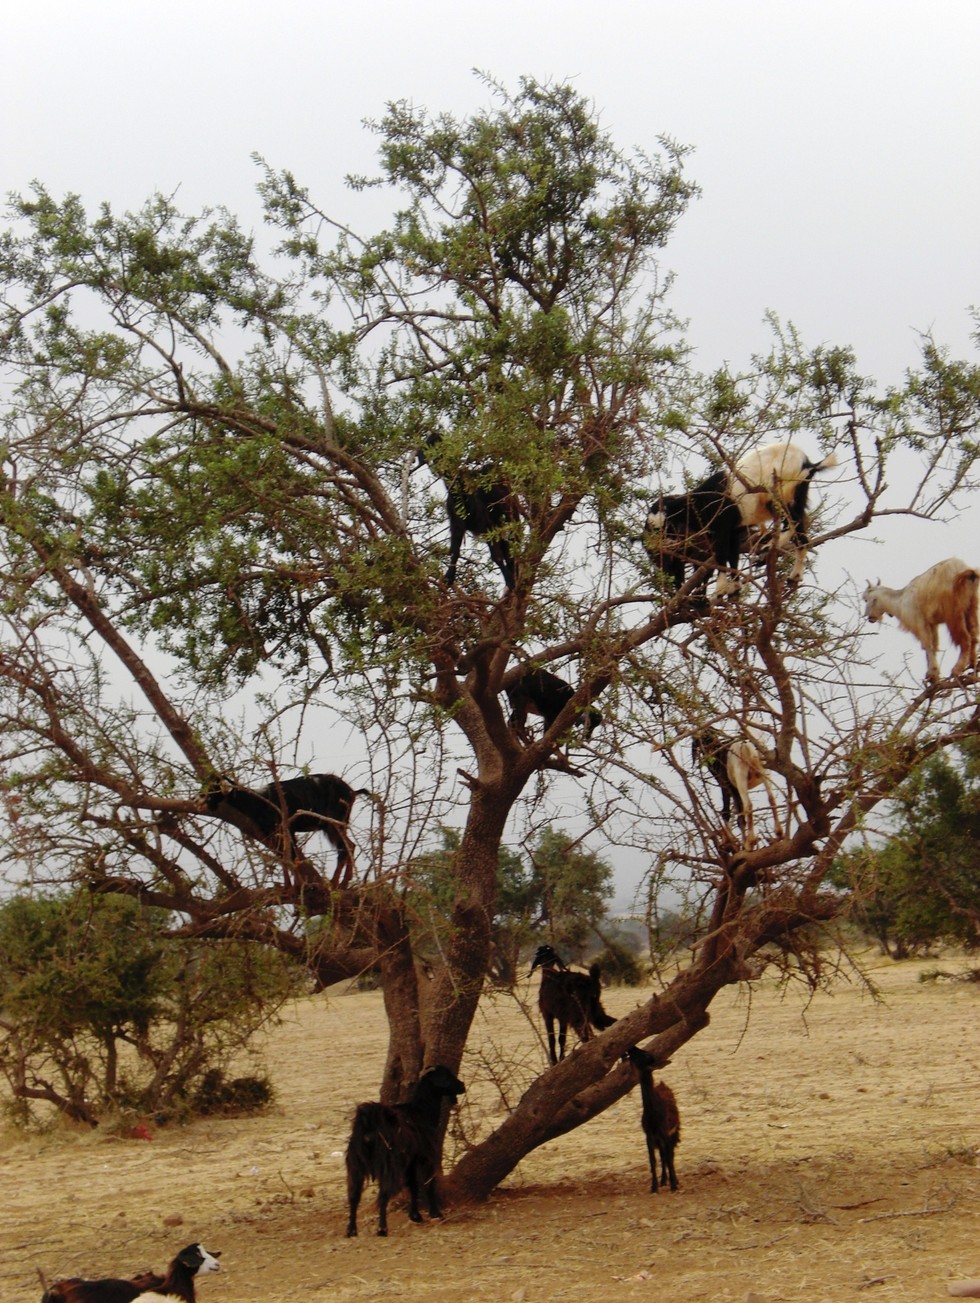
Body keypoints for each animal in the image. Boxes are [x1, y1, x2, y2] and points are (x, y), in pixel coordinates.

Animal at [204, 772, 369, 888]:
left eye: (214, 788)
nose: (203, 801)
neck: (258, 800)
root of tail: (352, 792)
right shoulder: (281, 832)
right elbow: (287, 856)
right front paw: (289, 886)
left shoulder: (282, 829)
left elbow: (290, 856)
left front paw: (298, 885)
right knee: (350, 846)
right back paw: (344, 882)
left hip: (333, 823)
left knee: (346, 847)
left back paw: (336, 883)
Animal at [345, 1064, 466, 1237]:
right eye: (445, 1076)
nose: (462, 1086)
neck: (420, 1111)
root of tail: (368, 1125)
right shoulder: (425, 1156)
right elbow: (428, 1183)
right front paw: (436, 1214)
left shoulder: (411, 1161)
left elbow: (413, 1185)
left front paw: (415, 1216)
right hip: (387, 1165)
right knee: (383, 1195)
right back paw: (382, 1228)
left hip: (356, 1165)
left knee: (354, 1196)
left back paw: (351, 1230)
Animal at [624, 1045, 680, 1193]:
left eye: (644, 1056)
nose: (632, 1048)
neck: (653, 1115)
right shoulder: (649, 1134)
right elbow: (653, 1159)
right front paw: (654, 1186)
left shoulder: (665, 1132)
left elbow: (669, 1156)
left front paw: (674, 1185)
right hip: (659, 1138)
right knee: (662, 1155)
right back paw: (663, 1181)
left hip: (674, 1131)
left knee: (669, 1154)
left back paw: (673, 1180)